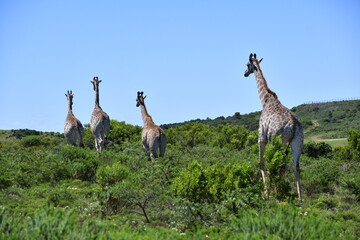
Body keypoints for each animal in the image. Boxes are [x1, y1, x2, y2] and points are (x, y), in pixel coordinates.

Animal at [243, 53, 302, 201]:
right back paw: (299, 198)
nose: (244, 73)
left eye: (247, 64)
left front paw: (266, 193)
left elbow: (262, 162)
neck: (265, 100)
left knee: (279, 166)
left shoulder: (261, 137)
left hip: (279, 141)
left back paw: (275, 193)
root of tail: (294, 125)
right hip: (296, 143)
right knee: (295, 167)